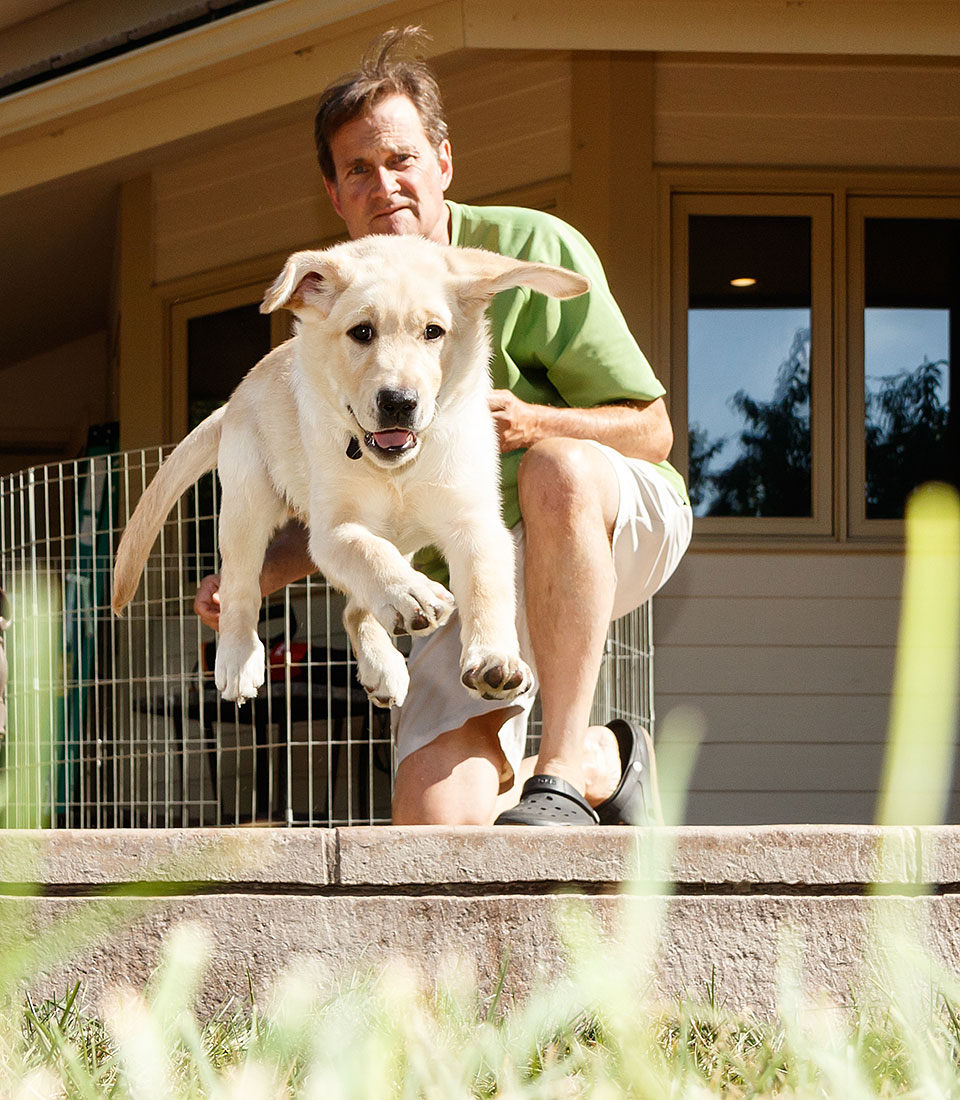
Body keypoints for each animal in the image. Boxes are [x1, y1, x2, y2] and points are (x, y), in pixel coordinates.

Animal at [116, 236, 589, 708]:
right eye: (362, 332)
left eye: (433, 331)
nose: (399, 402)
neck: (396, 470)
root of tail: (234, 399)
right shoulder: (333, 530)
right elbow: (367, 553)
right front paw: (412, 592)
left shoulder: (472, 520)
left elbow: (485, 584)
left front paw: (495, 658)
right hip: (247, 498)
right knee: (239, 584)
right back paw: (237, 658)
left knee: (355, 607)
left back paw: (383, 663)